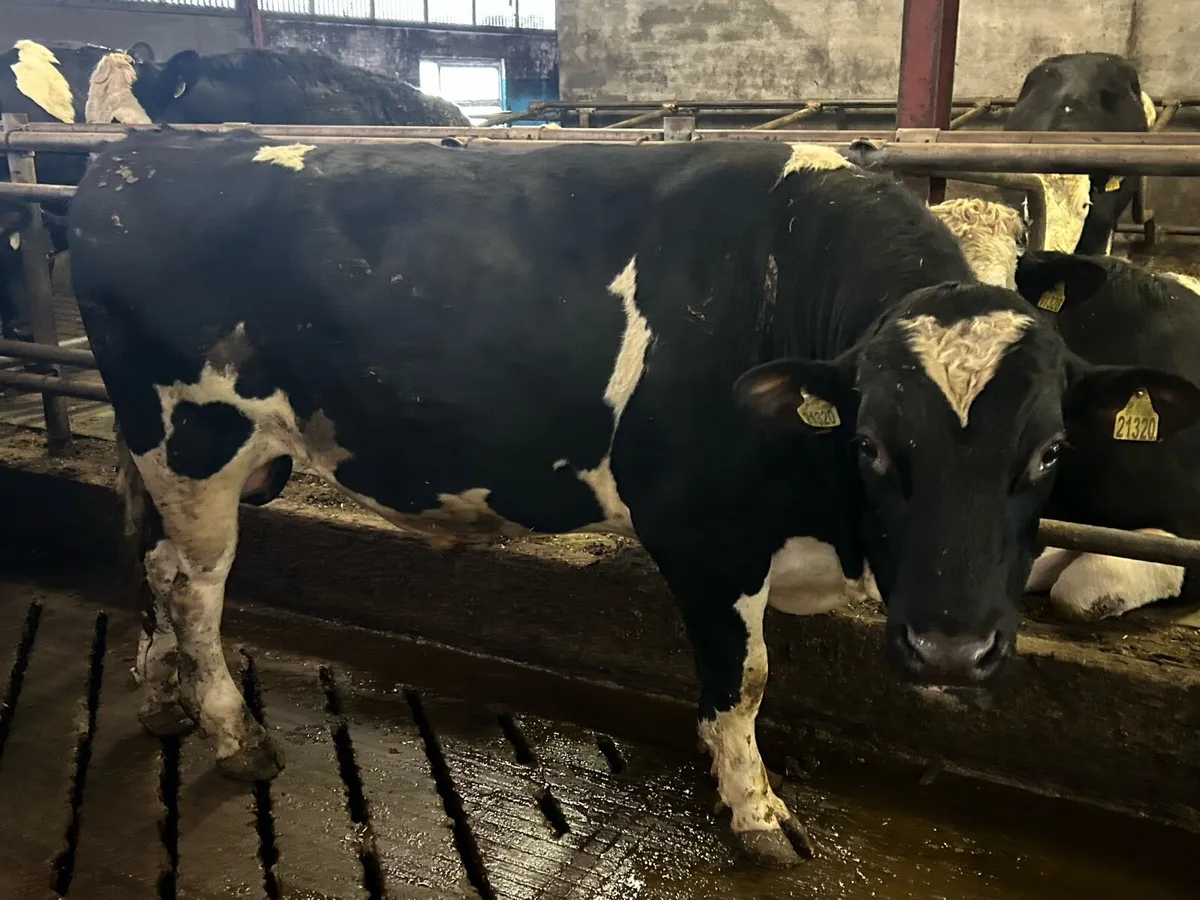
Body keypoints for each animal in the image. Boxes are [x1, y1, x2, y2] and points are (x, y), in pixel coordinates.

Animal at [67, 131, 1200, 868]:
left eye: (1049, 451)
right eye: (874, 444)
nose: (953, 651)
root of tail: (137, 158)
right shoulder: (706, 534)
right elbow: (742, 683)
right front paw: (757, 815)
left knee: (155, 565)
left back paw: (163, 697)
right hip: (195, 439)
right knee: (196, 585)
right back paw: (231, 734)